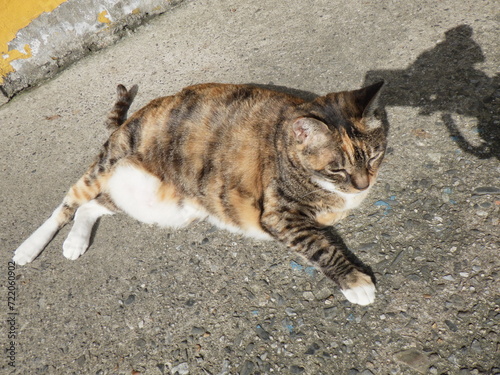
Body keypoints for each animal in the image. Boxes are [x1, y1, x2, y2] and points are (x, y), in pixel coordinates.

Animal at [11, 81, 386, 306]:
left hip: (157, 204)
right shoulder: (278, 215)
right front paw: (355, 281)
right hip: (104, 168)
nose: (363, 185)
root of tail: (127, 121)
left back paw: (75, 243)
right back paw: (28, 248)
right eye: (336, 168)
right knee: (68, 203)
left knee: (91, 207)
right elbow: (321, 246)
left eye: (373, 157)